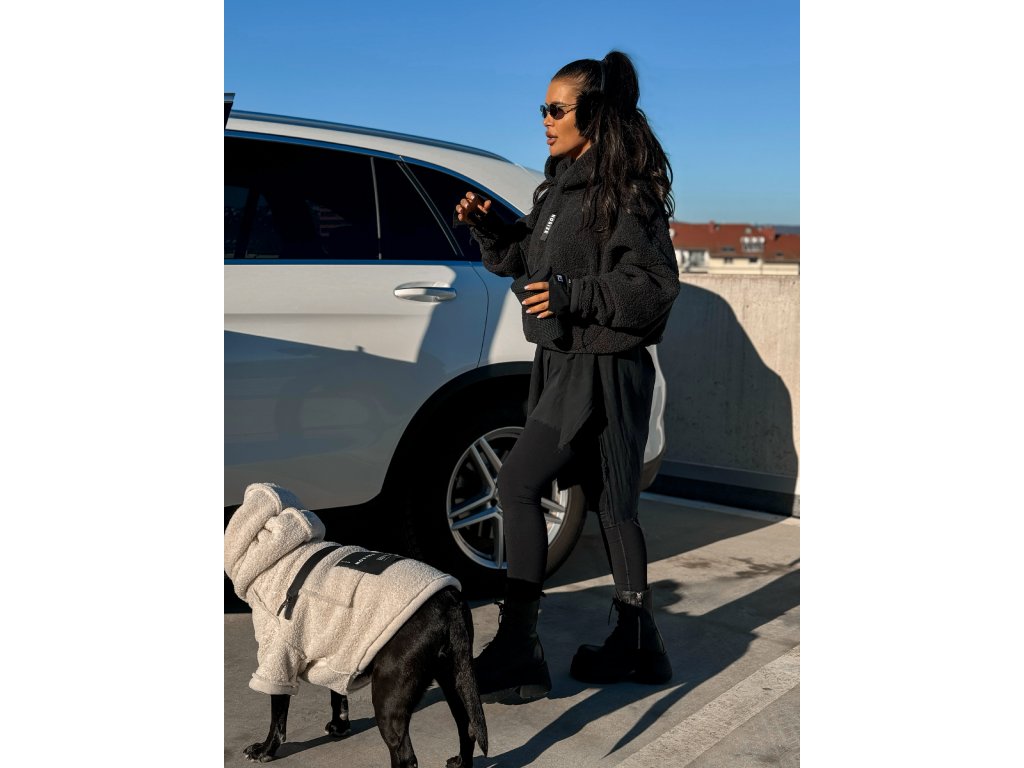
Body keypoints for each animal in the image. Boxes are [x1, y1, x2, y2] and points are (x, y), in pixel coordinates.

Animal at [225, 483, 488, 767]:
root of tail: (448, 602)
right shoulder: (337, 650)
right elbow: (337, 694)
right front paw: (340, 726)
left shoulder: (279, 655)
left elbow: (278, 714)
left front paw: (266, 749)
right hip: (453, 677)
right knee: (468, 727)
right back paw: (460, 761)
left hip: (389, 695)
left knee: (405, 755)